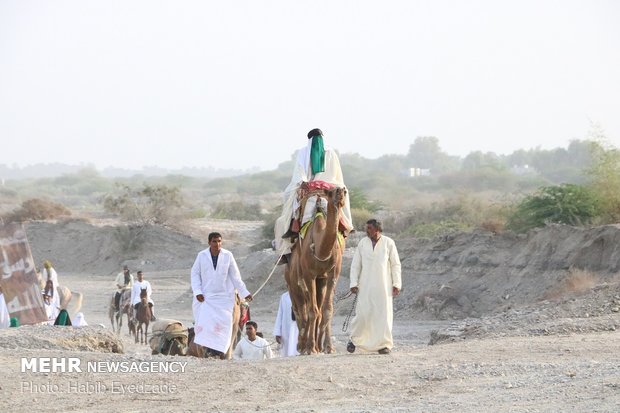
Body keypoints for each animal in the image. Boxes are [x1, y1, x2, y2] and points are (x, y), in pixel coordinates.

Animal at [284, 185, 346, 352]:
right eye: (331, 192)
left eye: (344, 191)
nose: (341, 192)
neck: (320, 248)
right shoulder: (308, 275)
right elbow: (312, 312)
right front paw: (310, 348)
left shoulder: (332, 274)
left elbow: (327, 310)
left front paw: (328, 347)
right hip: (292, 284)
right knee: (301, 312)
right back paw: (302, 345)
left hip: (320, 281)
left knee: (316, 309)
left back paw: (317, 345)